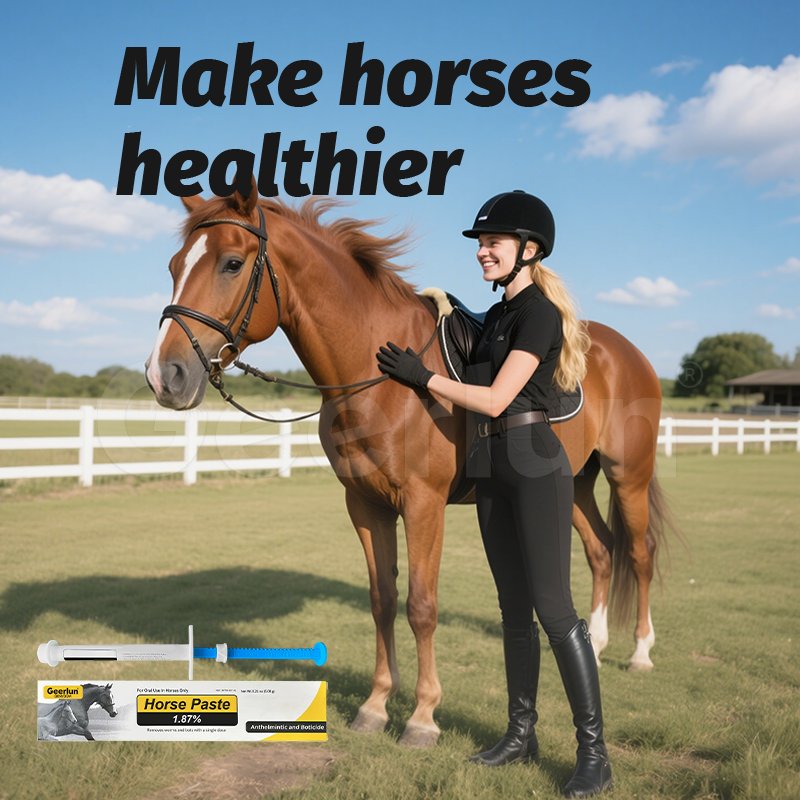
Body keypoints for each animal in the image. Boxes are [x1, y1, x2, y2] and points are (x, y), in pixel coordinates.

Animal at [145, 178, 678, 748]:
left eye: (231, 264)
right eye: (174, 265)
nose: (164, 375)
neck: (378, 378)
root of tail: (626, 352)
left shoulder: (424, 504)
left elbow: (421, 606)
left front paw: (423, 717)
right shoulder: (366, 504)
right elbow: (382, 599)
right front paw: (377, 705)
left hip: (628, 477)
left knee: (638, 554)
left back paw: (641, 653)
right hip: (574, 483)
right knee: (600, 551)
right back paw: (596, 645)